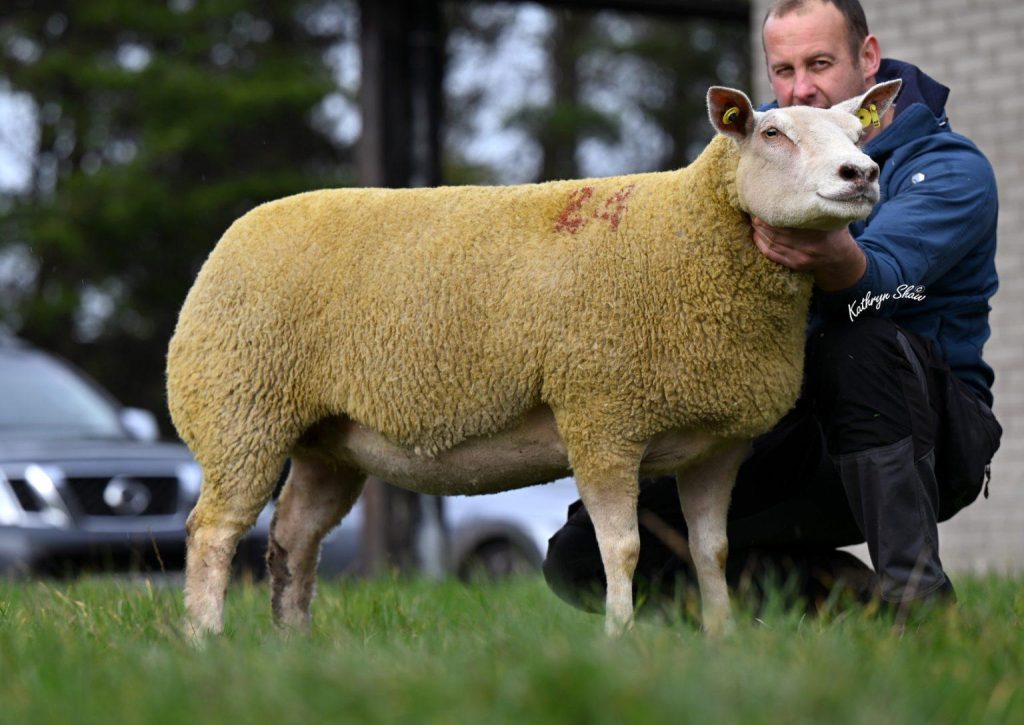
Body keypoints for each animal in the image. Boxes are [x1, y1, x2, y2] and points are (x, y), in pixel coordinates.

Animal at [167, 79, 902, 637]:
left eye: (857, 133)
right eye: (772, 132)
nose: (861, 175)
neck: (687, 233)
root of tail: (236, 232)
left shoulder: (718, 442)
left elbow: (711, 550)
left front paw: (721, 640)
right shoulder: (601, 416)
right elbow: (622, 547)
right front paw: (620, 638)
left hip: (327, 439)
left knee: (293, 536)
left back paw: (292, 641)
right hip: (241, 411)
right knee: (212, 532)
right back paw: (207, 640)